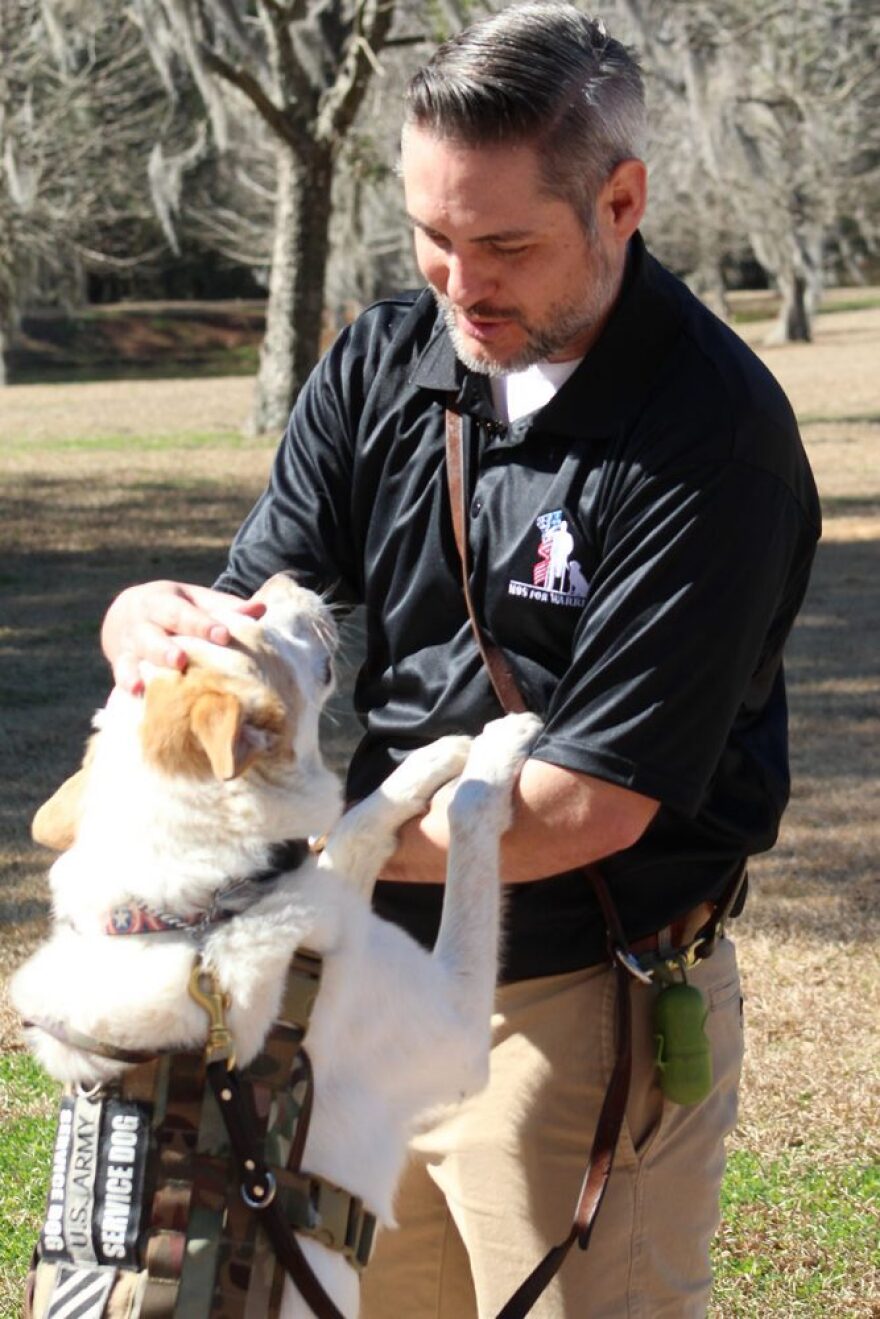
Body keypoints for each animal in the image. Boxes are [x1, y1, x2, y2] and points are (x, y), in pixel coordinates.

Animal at [10, 577, 540, 1319]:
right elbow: (468, 813)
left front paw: (425, 763)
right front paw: (496, 745)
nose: (287, 579)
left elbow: (354, 822)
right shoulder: (457, 1031)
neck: (196, 918)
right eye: (250, 621)